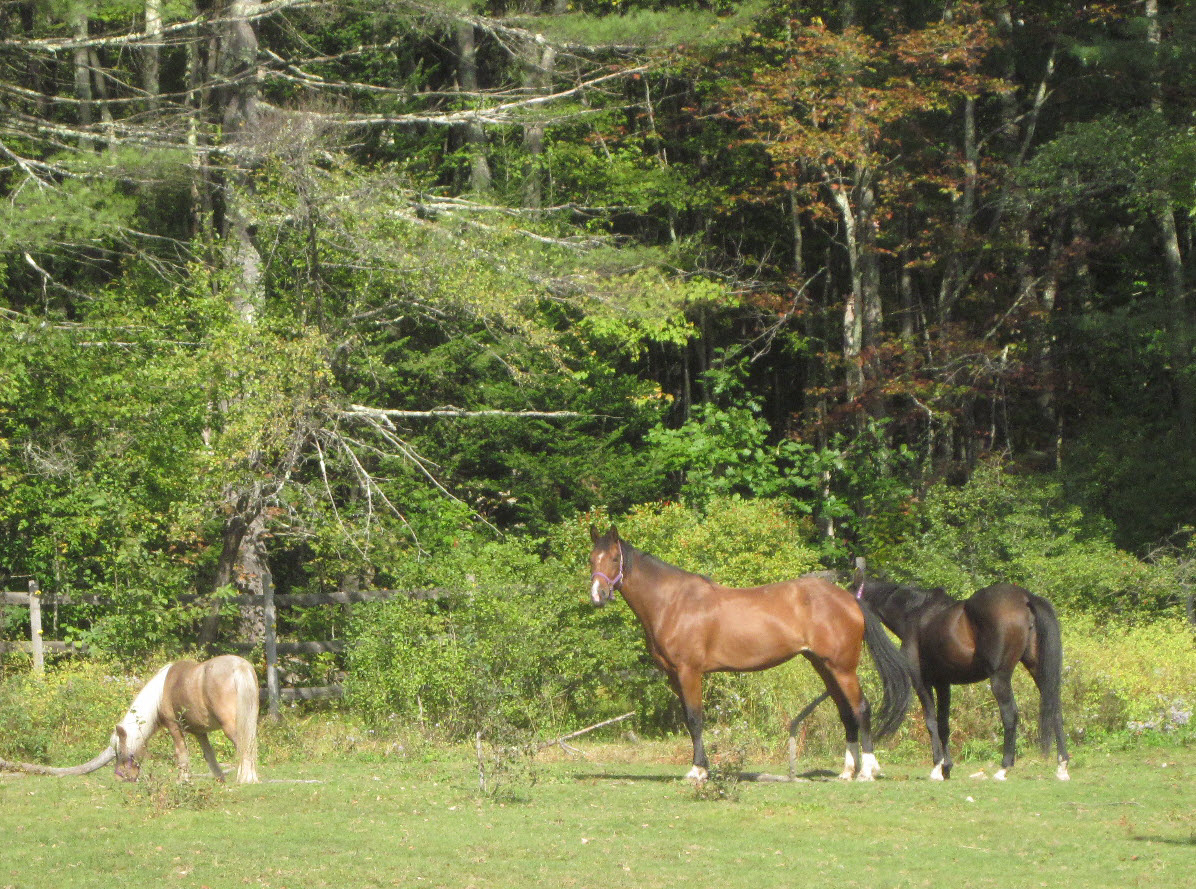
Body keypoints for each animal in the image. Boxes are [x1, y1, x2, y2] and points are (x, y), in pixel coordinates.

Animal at [112, 654, 260, 784]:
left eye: (119, 751)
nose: (118, 777)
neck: (161, 693)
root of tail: (240, 666)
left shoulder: (174, 727)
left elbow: (181, 752)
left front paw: (182, 779)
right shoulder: (200, 733)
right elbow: (209, 754)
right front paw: (219, 778)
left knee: (244, 746)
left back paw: (246, 778)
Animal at [588, 525, 911, 782]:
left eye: (615, 558)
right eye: (591, 559)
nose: (597, 596)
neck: (673, 602)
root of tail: (850, 598)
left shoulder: (689, 672)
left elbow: (695, 718)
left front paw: (698, 770)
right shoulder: (673, 676)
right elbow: (690, 720)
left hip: (843, 668)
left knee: (861, 709)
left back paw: (867, 771)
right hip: (823, 666)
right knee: (845, 712)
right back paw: (847, 771)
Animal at [854, 567, 1069, 781]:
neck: (915, 613)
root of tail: (1025, 597)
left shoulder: (921, 681)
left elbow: (931, 721)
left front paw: (937, 767)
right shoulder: (943, 683)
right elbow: (943, 724)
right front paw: (947, 767)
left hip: (999, 677)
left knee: (1010, 715)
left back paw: (1003, 768)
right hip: (1039, 670)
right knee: (1055, 710)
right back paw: (1062, 766)